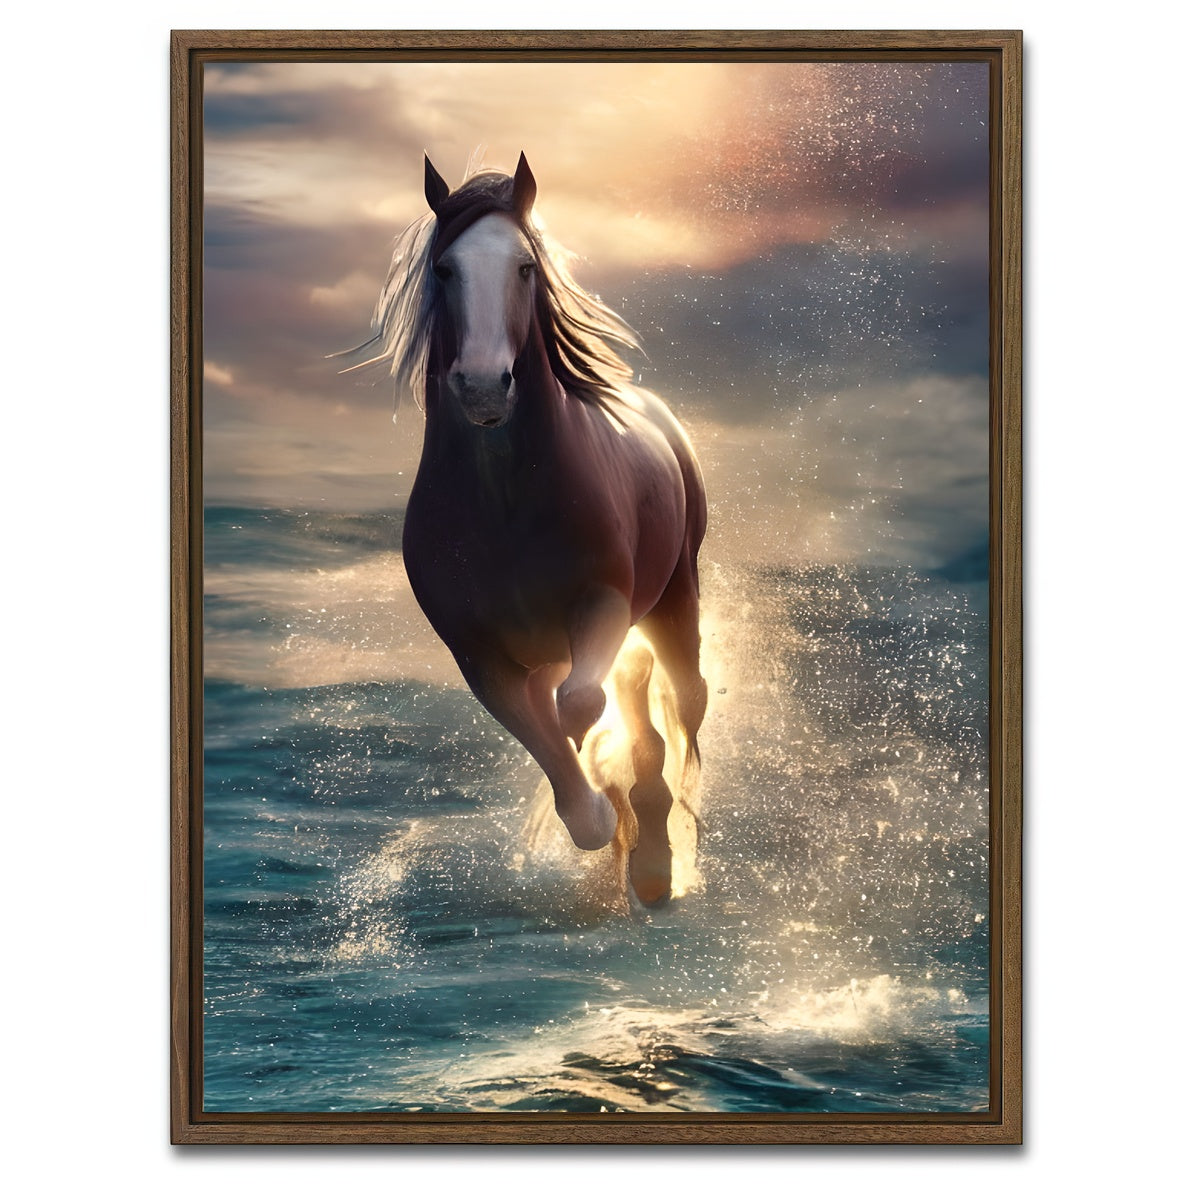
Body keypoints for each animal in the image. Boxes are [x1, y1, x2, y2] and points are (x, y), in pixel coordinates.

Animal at [350, 153, 707, 905]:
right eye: (445, 270)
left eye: (524, 268)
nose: (485, 387)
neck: (505, 503)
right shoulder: (480, 656)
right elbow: (561, 761)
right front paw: (607, 816)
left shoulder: (602, 603)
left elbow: (582, 707)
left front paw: (636, 826)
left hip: (673, 598)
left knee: (677, 697)